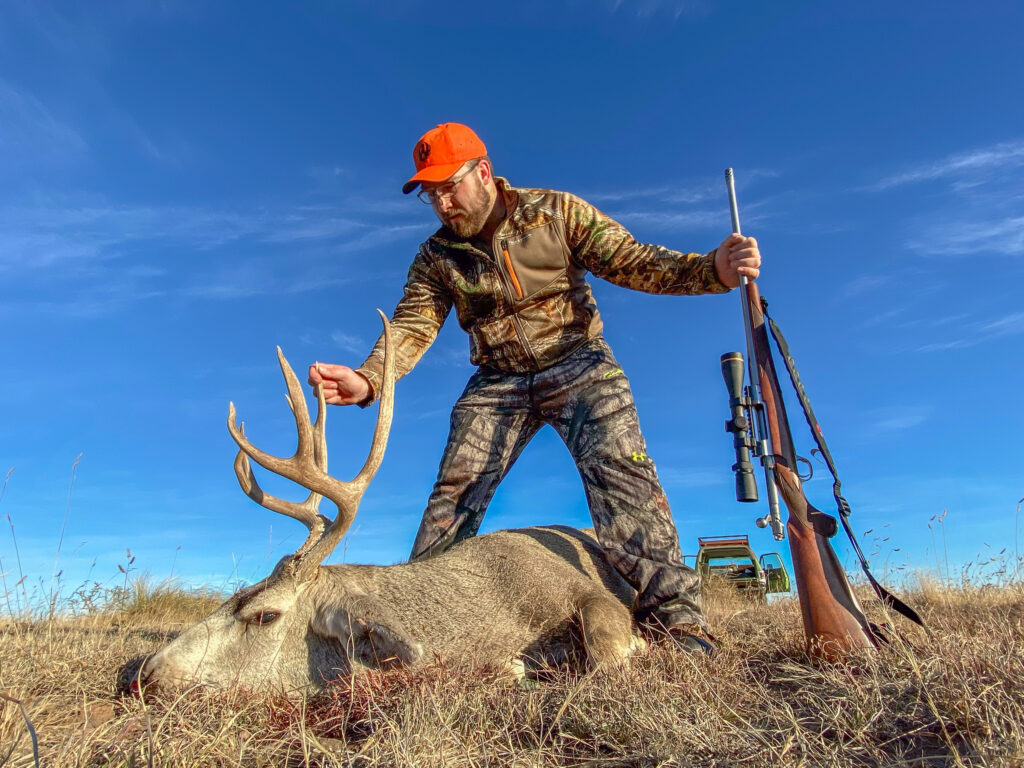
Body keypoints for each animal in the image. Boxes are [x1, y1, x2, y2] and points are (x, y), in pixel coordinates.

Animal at [138, 313, 646, 694]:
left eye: (264, 615)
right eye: (231, 596)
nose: (144, 673)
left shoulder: (583, 592)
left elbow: (605, 652)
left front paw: (635, 647)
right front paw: (513, 666)